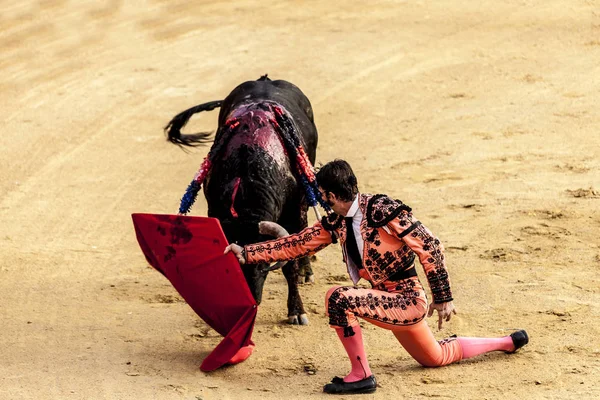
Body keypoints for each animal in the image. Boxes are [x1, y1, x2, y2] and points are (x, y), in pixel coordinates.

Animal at [166, 76, 318, 324]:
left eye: (264, 262)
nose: (252, 300)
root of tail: (265, 79)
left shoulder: (292, 210)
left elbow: (290, 265)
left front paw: (297, 312)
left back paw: (308, 271)